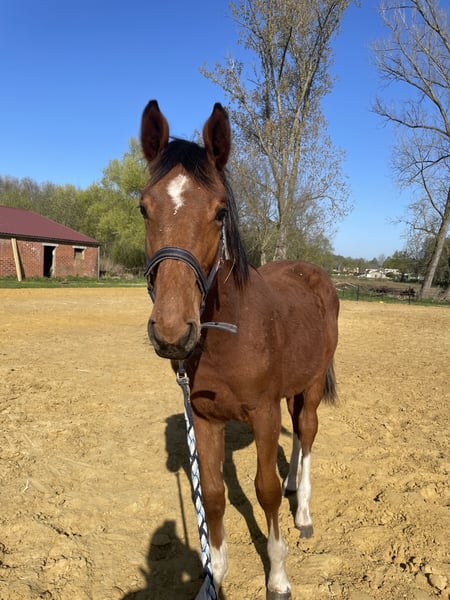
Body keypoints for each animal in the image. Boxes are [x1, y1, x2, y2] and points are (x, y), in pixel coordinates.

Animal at [139, 100, 339, 600]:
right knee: (296, 437)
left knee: (307, 432)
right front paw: (214, 573)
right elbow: (212, 494)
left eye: (219, 211)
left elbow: (262, 490)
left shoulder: (262, 414)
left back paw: (303, 512)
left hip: (310, 384)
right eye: (143, 207)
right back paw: (293, 489)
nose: (172, 331)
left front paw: (279, 576)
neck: (227, 335)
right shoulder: (204, 417)